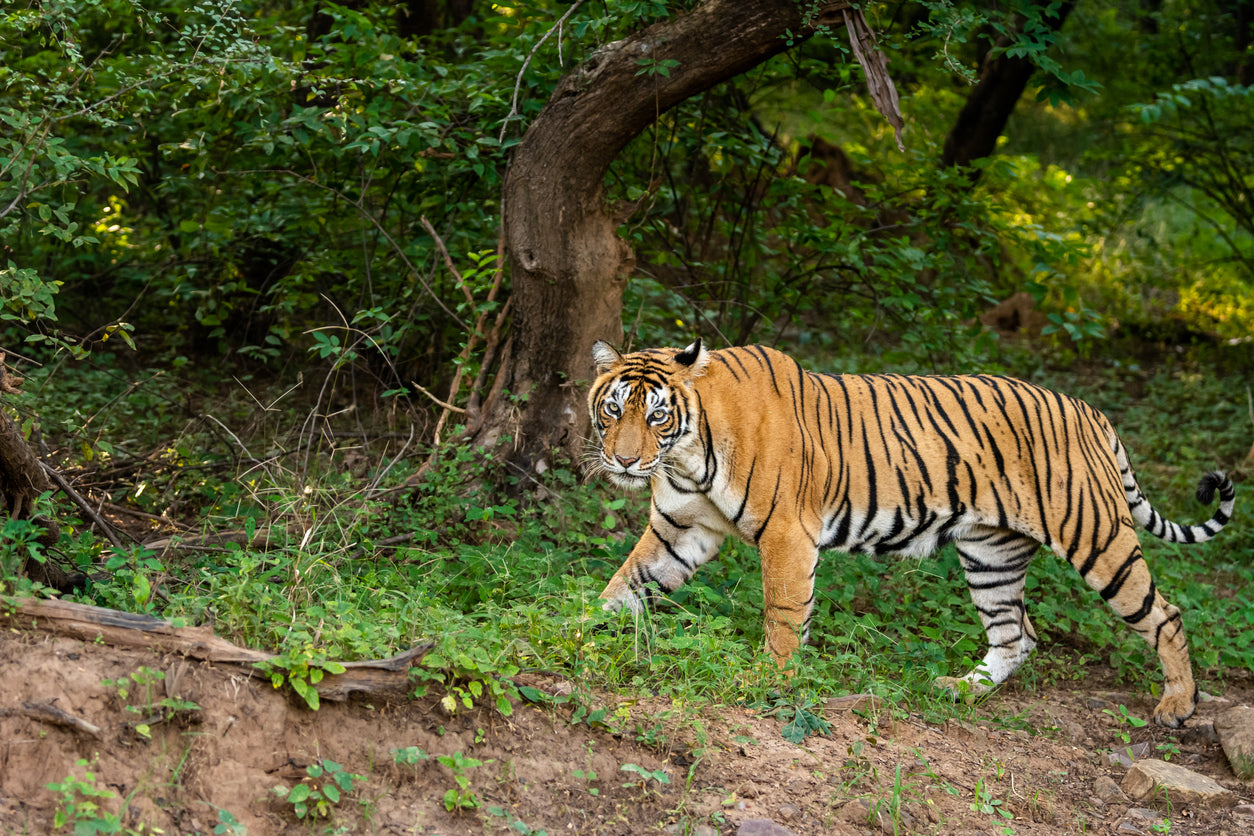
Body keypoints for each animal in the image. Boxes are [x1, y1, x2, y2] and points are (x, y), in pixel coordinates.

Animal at [586, 338, 1233, 726]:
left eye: (657, 415)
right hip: (991, 553)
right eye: (614, 409)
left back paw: (1178, 704)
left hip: (1097, 539)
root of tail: (1092, 412)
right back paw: (960, 690)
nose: (623, 461)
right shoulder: (679, 530)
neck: (685, 457)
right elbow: (623, 588)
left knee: (1166, 614)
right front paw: (579, 637)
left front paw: (768, 680)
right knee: (1017, 633)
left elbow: (782, 615)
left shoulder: (787, 536)